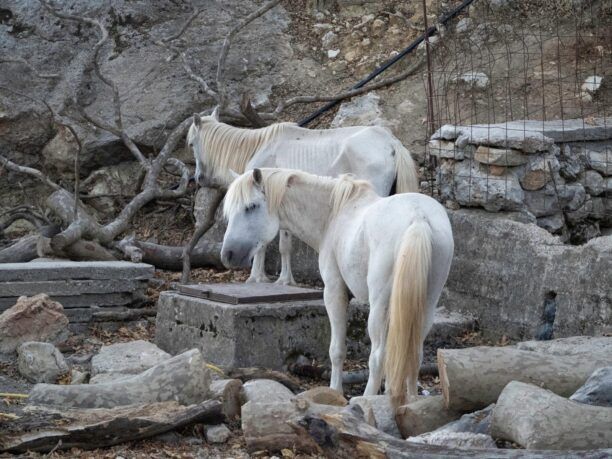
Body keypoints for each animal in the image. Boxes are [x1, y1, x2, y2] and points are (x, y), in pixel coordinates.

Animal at [186, 109, 418, 286]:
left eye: (191, 144)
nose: (198, 178)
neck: (259, 146)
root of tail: (391, 142)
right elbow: (283, 245)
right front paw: (284, 280)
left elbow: (269, 244)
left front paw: (260, 278)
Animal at [220, 167, 454, 404]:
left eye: (251, 206)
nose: (228, 254)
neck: (334, 215)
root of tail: (418, 218)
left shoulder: (334, 292)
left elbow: (337, 350)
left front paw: (335, 391)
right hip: (425, 305)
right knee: (414, 353)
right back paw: (412, 400)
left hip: (380, 306)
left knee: (378, 356)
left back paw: (366, 399)